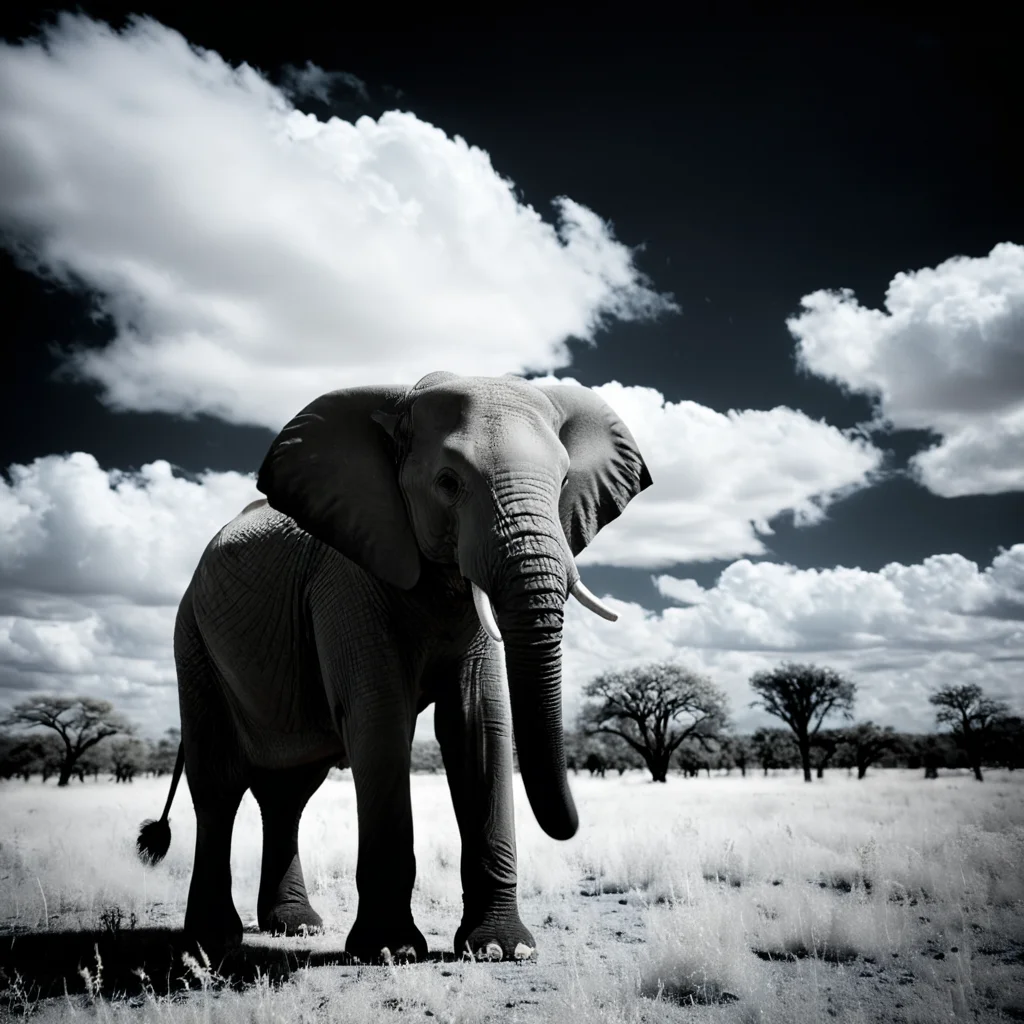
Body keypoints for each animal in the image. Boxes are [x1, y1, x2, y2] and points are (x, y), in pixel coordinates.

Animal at [136, 370, 651, 963]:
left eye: (565, 479)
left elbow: (478, 723)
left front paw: (503, 951)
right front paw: (391, 951)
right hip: (192, 637)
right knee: (218, 784)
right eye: (448, 482)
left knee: (288, 794)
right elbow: (380, 718)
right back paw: (212, 942)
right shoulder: (344, 577)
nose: (571, 824)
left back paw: (297, 929)